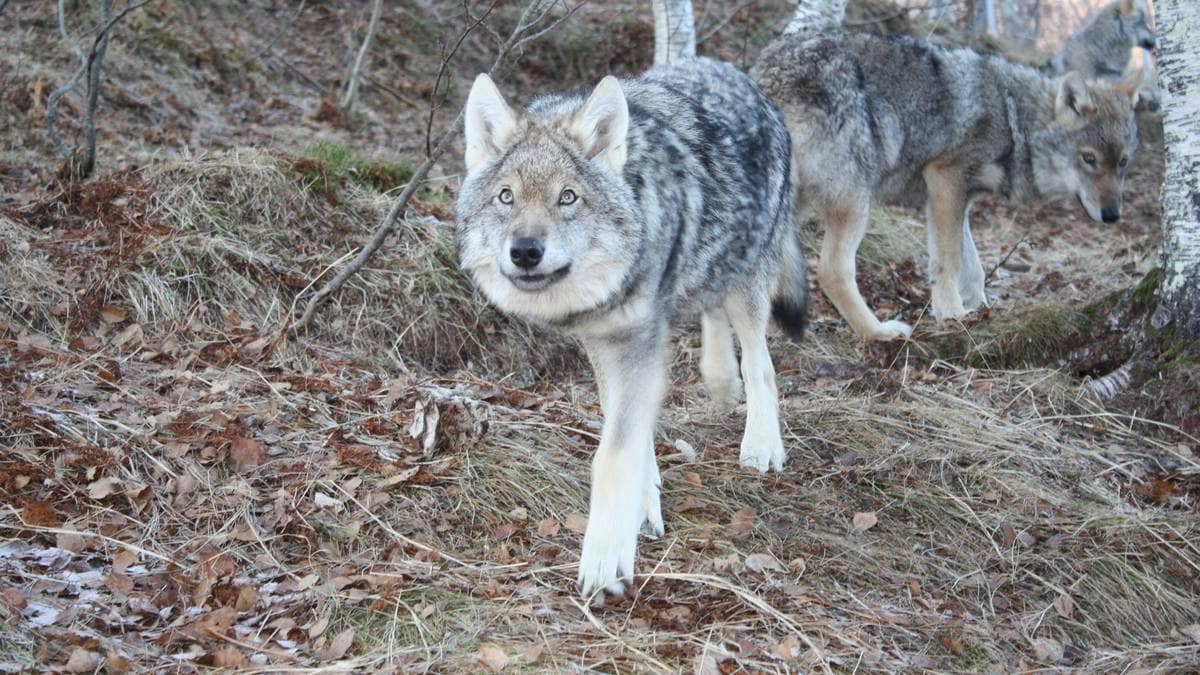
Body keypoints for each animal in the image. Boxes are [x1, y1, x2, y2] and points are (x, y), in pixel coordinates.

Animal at [453, 56, 811, 593]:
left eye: (568, 197)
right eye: (506, 197)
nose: (525, 251)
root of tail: (737, 73)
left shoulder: (637, 341)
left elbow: (614, 454)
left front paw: (605, 558)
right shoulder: (605, 341)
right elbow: (632, 434)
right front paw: (642, 508)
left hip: (747, 281)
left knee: (760, 363)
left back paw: (762, 445)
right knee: (713, 318)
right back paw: (719, 380)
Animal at [753, 30, 1137, 338]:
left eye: (1122, 162)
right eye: (1089, 159)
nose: (1113, 215)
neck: (1015, 117)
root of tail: (765, 72)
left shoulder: (957, 199)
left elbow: (973, 267)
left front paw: (981, 308)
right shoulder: (946, 179)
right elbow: (949, 261)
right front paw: (952, 314)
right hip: (855, 202)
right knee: (832, 272)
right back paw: (878, 332)